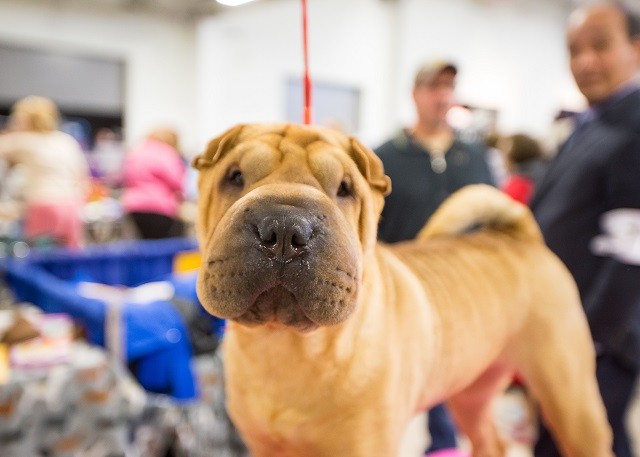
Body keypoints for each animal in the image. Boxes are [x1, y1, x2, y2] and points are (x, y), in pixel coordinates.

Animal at [192, 123, 612, 454]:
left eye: (345, 188)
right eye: (234, 176)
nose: (284, 229)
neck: (286, 348)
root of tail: (522, 237)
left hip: (570, 396)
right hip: (472, 390)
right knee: (491, 440)